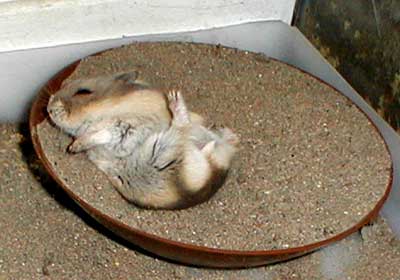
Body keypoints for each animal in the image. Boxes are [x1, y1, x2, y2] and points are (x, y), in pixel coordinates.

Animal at [48, 71, 239, 209]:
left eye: (83, 91)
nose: (48, 108)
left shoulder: (126, 128)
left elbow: (103, 133)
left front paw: (73, 146)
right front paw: (74, 147)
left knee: (182, 125)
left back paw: (174, 96)